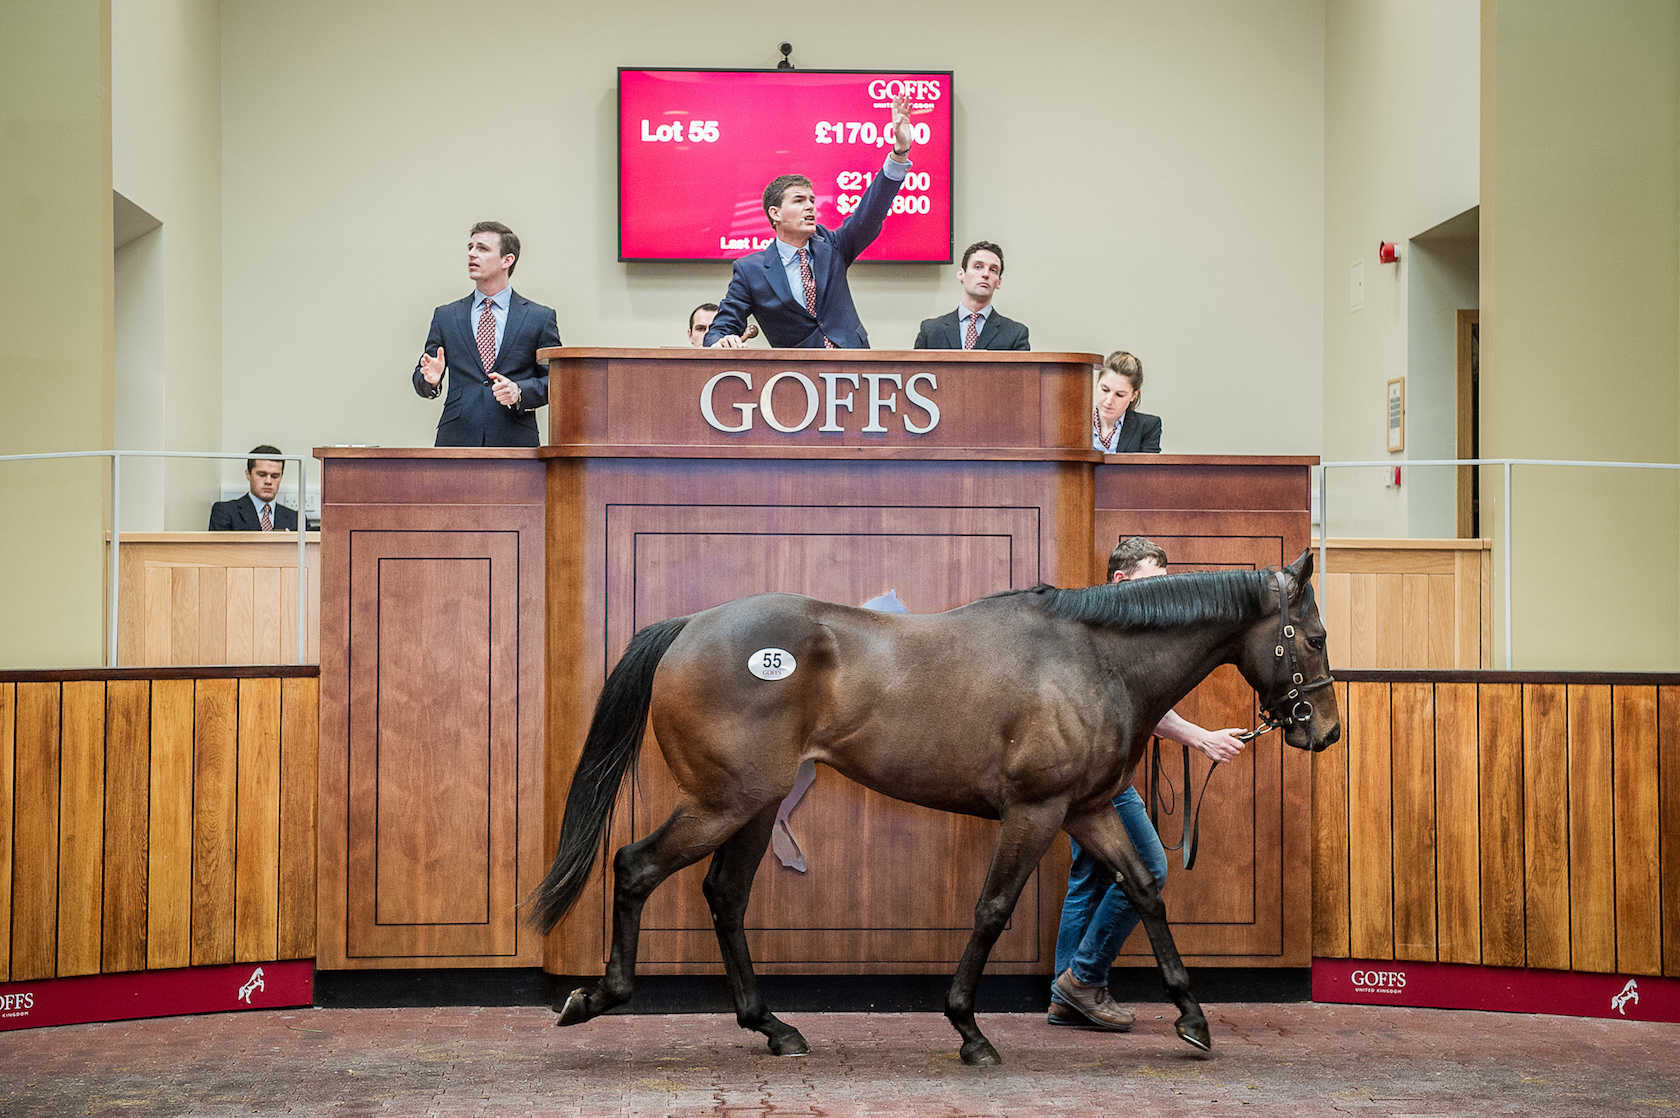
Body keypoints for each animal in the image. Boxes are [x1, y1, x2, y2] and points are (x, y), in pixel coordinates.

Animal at [530, 548, 1344, 1062]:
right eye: (1313, 635)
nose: (1326, 731)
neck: (1092, 659)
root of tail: (690, 627)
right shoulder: (1035, 811)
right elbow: (992, 910)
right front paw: (968, 1030)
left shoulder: (1083, 810)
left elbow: (1144, 889)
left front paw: (1191, 1017)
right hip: (722, 802)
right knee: (635, 868)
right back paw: (596, 997)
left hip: (754, 807)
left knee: (725, 897)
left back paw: (773, 1027)